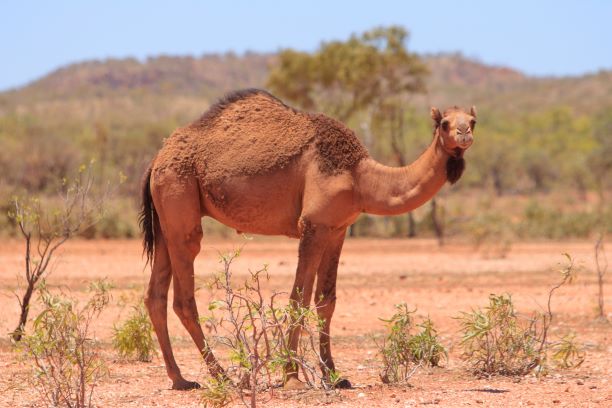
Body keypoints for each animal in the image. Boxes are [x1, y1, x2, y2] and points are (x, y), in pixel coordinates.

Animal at [140, 88, 478, 388]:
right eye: (445, 122)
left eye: (472, 121)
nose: (463, 135)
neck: (360, 177)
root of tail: (156, 159)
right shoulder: (313, 224)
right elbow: (298, 298)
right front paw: (291, 376)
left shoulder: (337, 228)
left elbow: (326, 300)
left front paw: (334, 375)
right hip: (179, 197)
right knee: (184, 295)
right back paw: (222, 376)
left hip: (165, 220)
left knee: (155, 295)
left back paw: (180, 379)